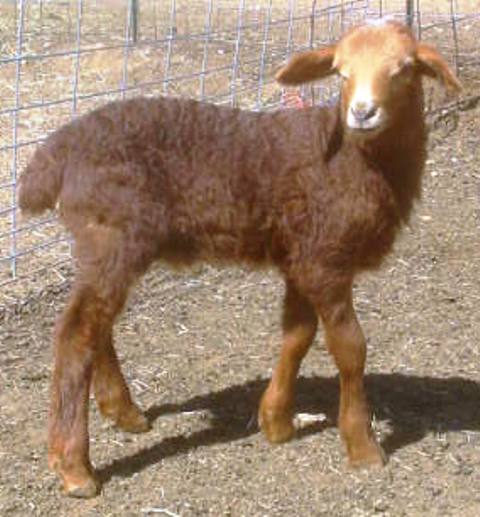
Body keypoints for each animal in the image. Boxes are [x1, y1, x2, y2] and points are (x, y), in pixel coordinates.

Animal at [18, 20, 462, 496]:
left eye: (404, 69)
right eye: (340, 73)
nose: (362, 112)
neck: (355, 159)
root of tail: (56, 151)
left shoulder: (301, 255)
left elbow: (297, 335)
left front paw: (276, 421)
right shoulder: (326, 259)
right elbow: (350, 348)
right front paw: (362, 446)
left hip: (108, 245)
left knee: (96, 325)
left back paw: (125, 413)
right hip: (111, 236)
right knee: (76, 334)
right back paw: (75, 466)